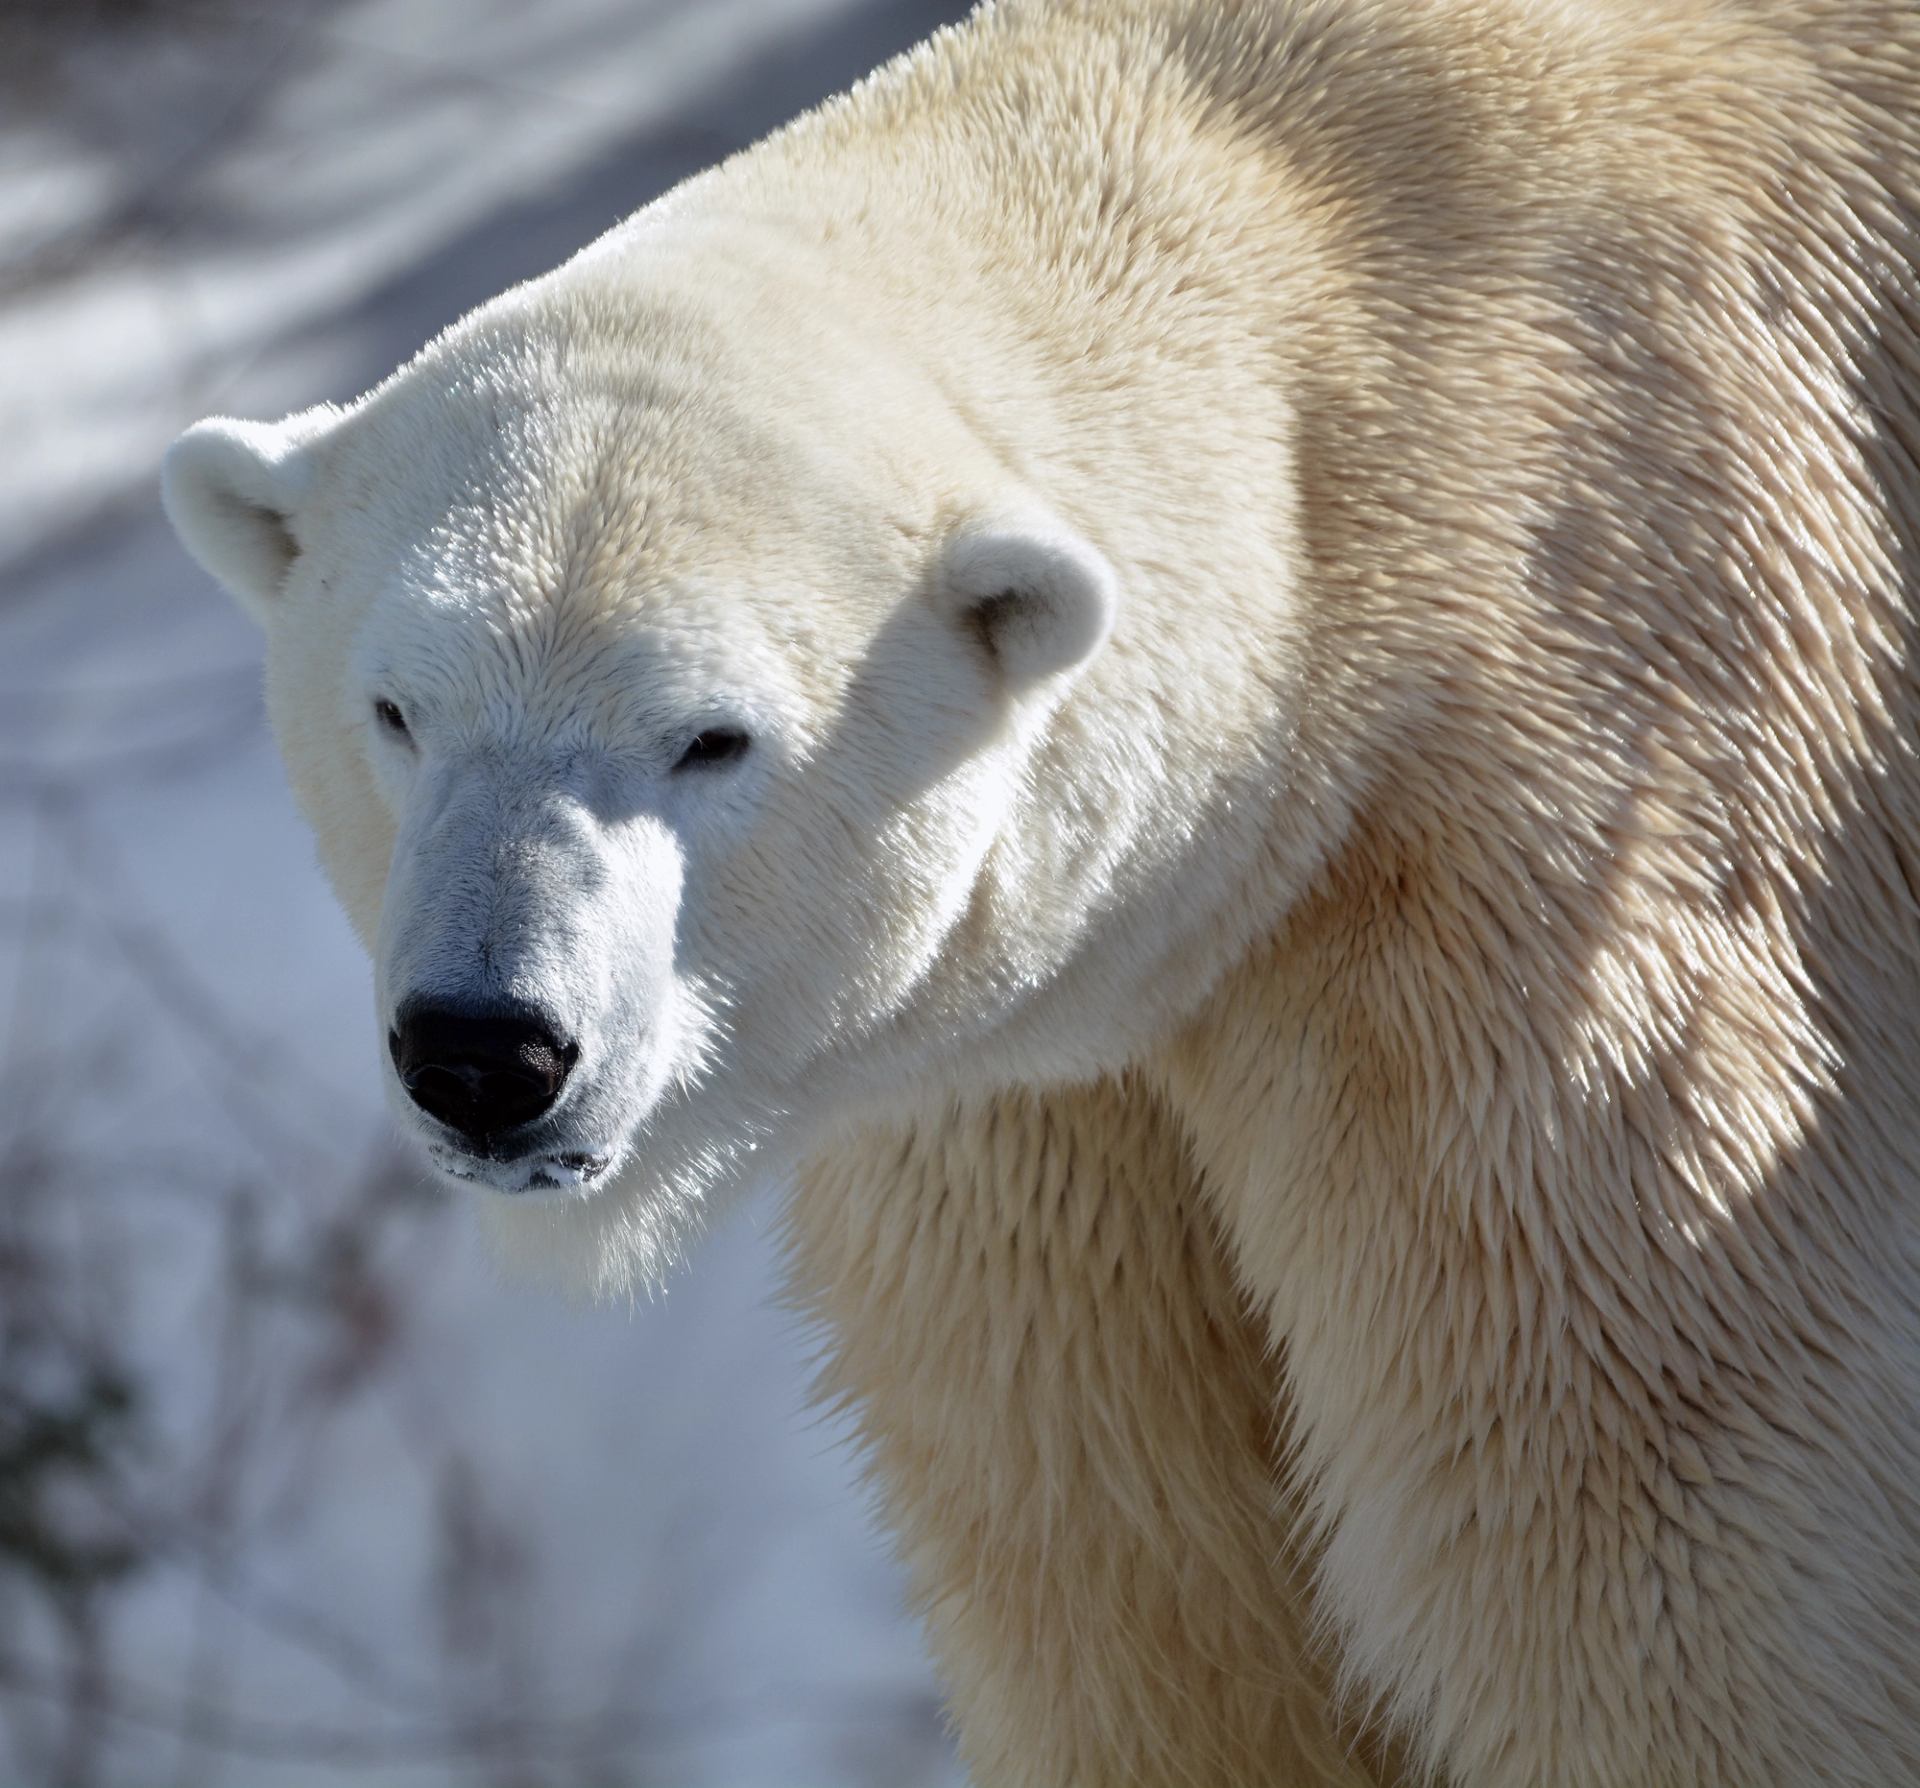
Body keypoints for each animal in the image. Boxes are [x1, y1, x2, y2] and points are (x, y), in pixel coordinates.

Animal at [160, 0, 1920, 1783]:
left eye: (711, 736)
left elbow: (1650, 1562)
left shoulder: (1571, 872)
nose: (487, 1051)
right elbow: (1129, 1575)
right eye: (398, 709)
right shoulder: (1035, 1105)